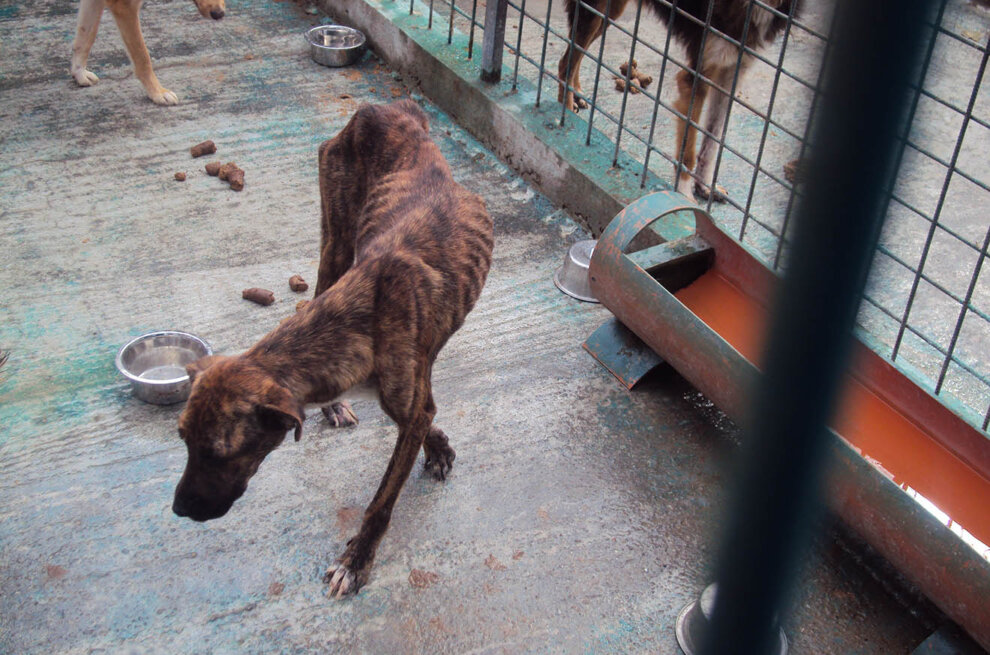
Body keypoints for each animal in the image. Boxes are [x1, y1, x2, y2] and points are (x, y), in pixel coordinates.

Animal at [173, 100, 496, 596]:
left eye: (218, 454)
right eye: (183, 441)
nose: (180, 510)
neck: (358, 325)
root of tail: (384, 108)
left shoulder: (410, 399)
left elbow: (384, 496)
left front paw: (356, 560)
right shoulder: (407, 399)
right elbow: (423, 420)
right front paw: (437, 446)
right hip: (337, 238)